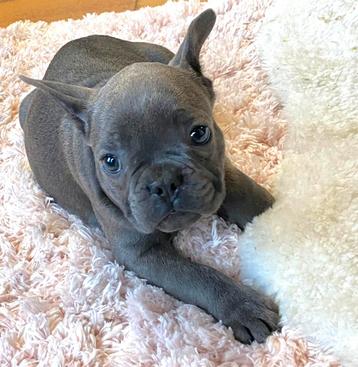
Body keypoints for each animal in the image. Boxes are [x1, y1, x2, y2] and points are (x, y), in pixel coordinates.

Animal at [18, 10, 278, 344]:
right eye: (110, 162)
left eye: (200, 133)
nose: (164, 182)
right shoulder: (141, 253)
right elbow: (196, 276)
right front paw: (244, 306)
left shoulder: (222, 172)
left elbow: (251, 198)